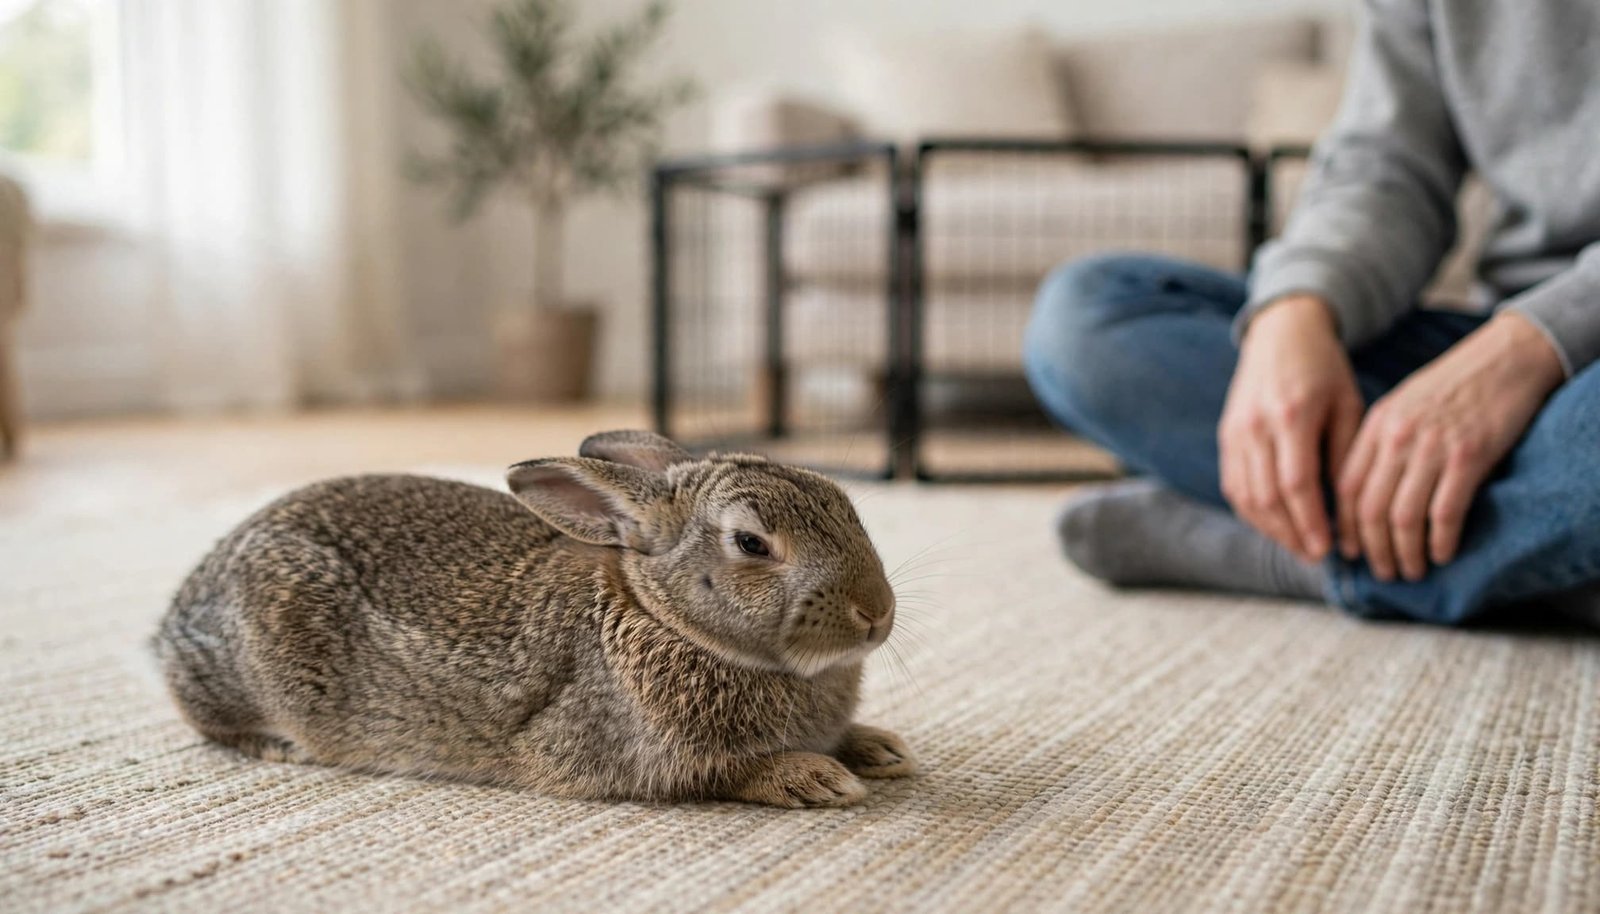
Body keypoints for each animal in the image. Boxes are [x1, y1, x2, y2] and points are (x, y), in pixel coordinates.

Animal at [152, 430, 915, 807]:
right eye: (752, 544)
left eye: (842, 500)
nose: (877, 614)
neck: (662, 616)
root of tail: (172, 624)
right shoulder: (630, 758)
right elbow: (727, 773)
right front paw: (815, 778)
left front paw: (877, 747)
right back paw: (277, 745)